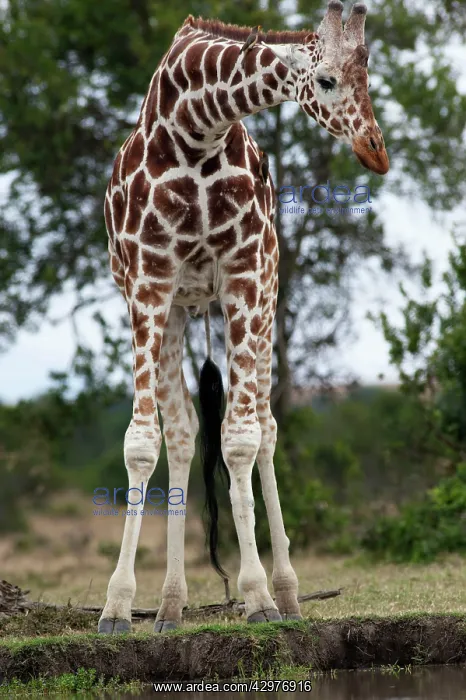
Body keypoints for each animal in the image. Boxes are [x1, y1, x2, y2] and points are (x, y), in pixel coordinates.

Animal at [99, 1, 389, 634]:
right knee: (184, 434)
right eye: (325, 80)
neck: (194, 129)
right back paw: (170, 606)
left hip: (263, 299)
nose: (376, 151)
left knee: (267, 430)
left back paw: (287, 592)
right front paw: (116, 607)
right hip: (177, 313)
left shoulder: (244, 275)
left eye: (368, 79)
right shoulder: (148, 283)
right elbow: (142, 441)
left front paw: (257, 597)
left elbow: (240, 439)